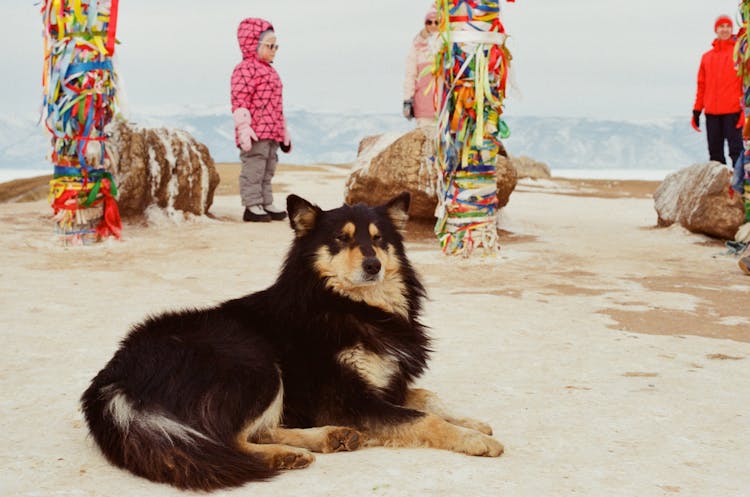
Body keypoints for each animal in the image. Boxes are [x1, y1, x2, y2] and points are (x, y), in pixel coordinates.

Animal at [81, 193, 506, 488]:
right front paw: (473, 440)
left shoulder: (386, 381)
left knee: (255, 430)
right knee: (229, 441)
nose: (374, 265)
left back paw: (329, 438)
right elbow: (423, 418)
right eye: (340, 240)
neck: (350, 305)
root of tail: (114, 377)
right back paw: (284, 456)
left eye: (378, 239)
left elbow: (429, 398)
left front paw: (471, 421)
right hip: (254, 361)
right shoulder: (347, 400)